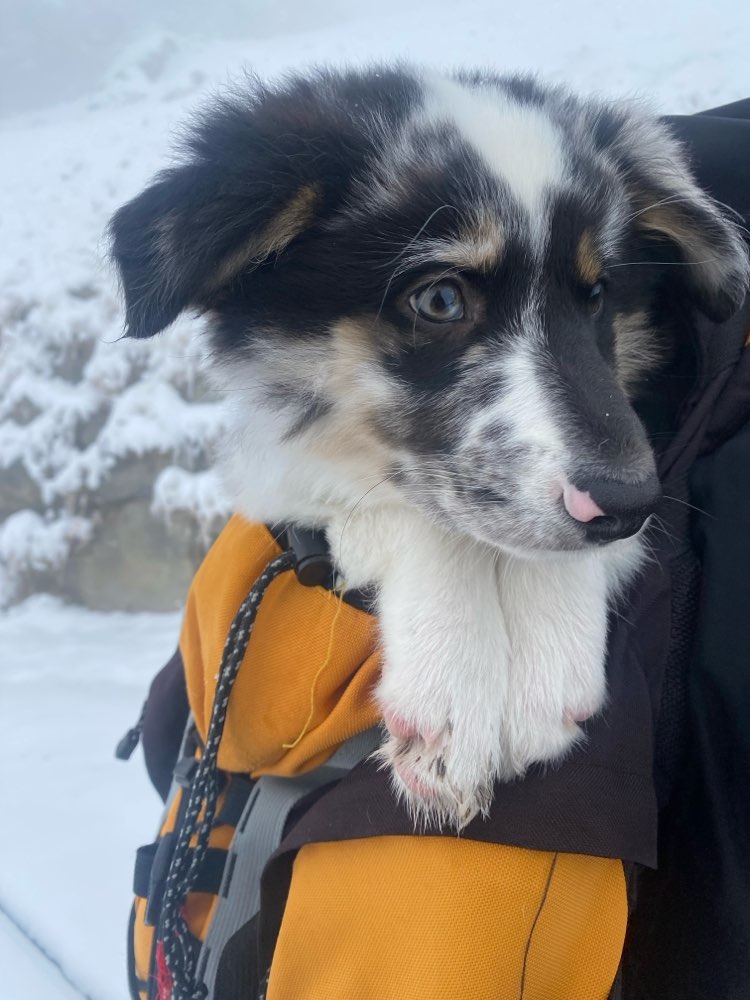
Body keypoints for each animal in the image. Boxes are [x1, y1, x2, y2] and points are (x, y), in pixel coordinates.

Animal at [110, 68, 750, 828]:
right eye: (440, 299)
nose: (627, 503)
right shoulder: (275, 466)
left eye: (596, 295)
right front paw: (455, 695)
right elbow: (426, 514)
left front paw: (545, 663)